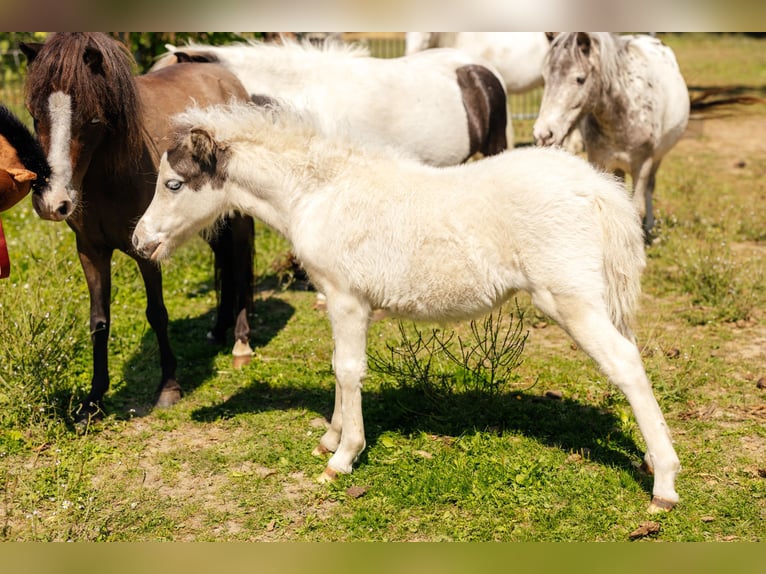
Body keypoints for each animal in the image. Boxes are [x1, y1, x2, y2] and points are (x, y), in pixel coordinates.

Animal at [21, 33, 254, 419]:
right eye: (34, 115)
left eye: (92, 120)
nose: (53, 202)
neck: (107, 175)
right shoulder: (91, 251)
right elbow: (98, 321)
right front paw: (93, 400)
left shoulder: (145, 249)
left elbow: (157, 313)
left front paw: (169, 388)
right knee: (225, 260)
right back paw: (218, 330)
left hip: (236, 217)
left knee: (241, 264)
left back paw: (241, 342)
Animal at [132, 101, 681, 512]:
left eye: (174, 183)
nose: (140, 242)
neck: (320, 193)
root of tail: (598, 188)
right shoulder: (336, 301)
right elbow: (338, 368)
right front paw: (329, 438)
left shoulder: (347, 299)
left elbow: (348, 370)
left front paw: (342, 458)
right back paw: (653, 460)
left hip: (570, 301)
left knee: (626, 364)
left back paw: (665, 485)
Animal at [533, 33, 690, 239]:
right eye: (545, 78)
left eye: (580, 79)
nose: (543, 133)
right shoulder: (600, 162)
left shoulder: (643, 165)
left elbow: (637, 208)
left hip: (657, 158)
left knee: (650, 187)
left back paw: (649, 226)